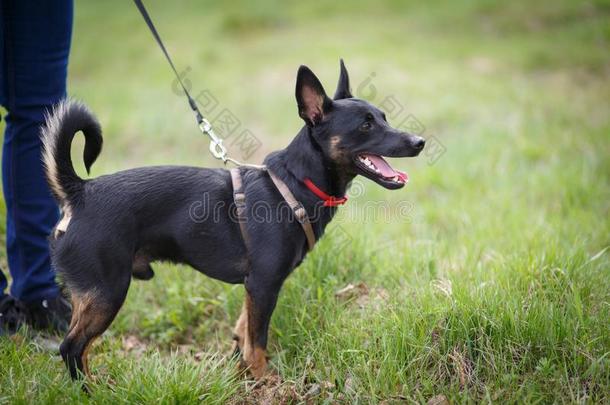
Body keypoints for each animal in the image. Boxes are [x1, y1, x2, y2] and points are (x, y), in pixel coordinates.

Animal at [41, 60, 422, 378]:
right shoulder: (265, 285)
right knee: (72, 348)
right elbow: (258, 344)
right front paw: (265, 381)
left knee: (80, 349)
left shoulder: (253, 288)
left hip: (92, 295)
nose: (419, 141)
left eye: (384, 117)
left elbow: (244, 333)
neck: (295, 182)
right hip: (107, 292)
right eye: (366, 125)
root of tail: (80, 192)